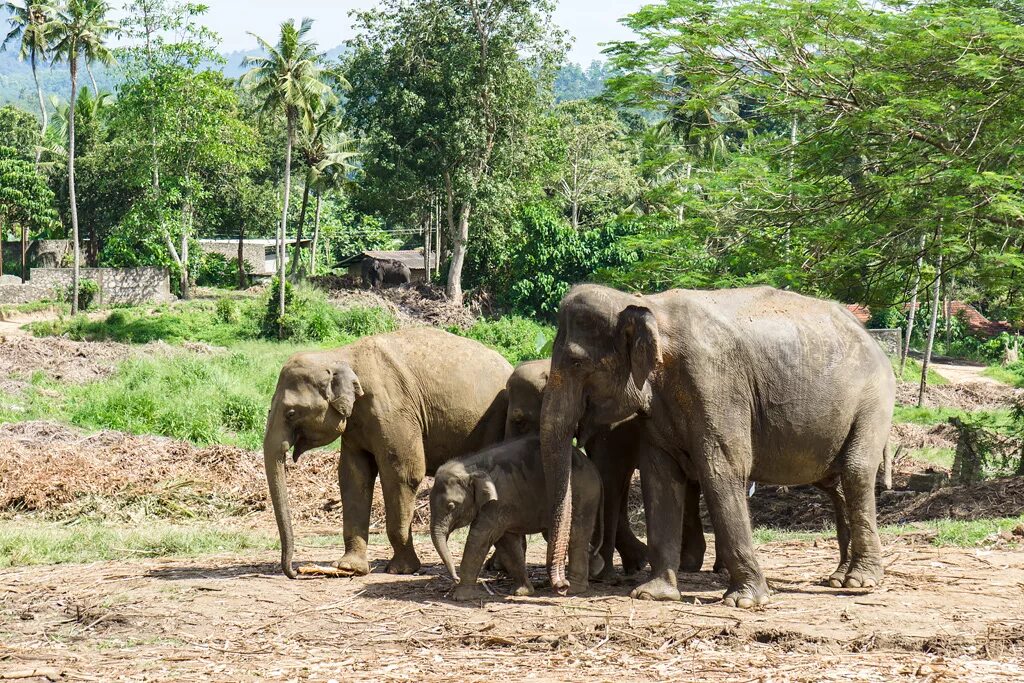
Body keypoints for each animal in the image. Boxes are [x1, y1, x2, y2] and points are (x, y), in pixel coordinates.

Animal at [260, 325, 507, 577]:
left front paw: (402, 569)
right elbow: (353, 476)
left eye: (291, 413)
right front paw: (349, 567)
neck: (339, 354)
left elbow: (404, 473)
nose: (295, 572)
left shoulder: (393, 411)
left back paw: (497, 567)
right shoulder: (355, 426)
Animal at [430, 436, 602, 602]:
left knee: (577, 534)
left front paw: (461, 597)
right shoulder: (502, 508)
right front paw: (522, 592)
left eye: (451, 506)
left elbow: (479, 537)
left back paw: (574, 588)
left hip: (585, 495)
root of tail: (593, 468)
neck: (471, 467)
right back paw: (596, 569)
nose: (455, 578)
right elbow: (506, 542)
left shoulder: (498, 502)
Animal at [540, 282, 892, 610]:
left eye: (575, 363)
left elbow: (722, 468)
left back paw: (860, 581)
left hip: (873, 400)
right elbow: (660, 478)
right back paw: (840, 577)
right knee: (837, 484)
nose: (562, 588)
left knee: (856, 471)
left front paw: (745, 601)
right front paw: (653, 594)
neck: (648, 305)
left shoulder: (714, 381)